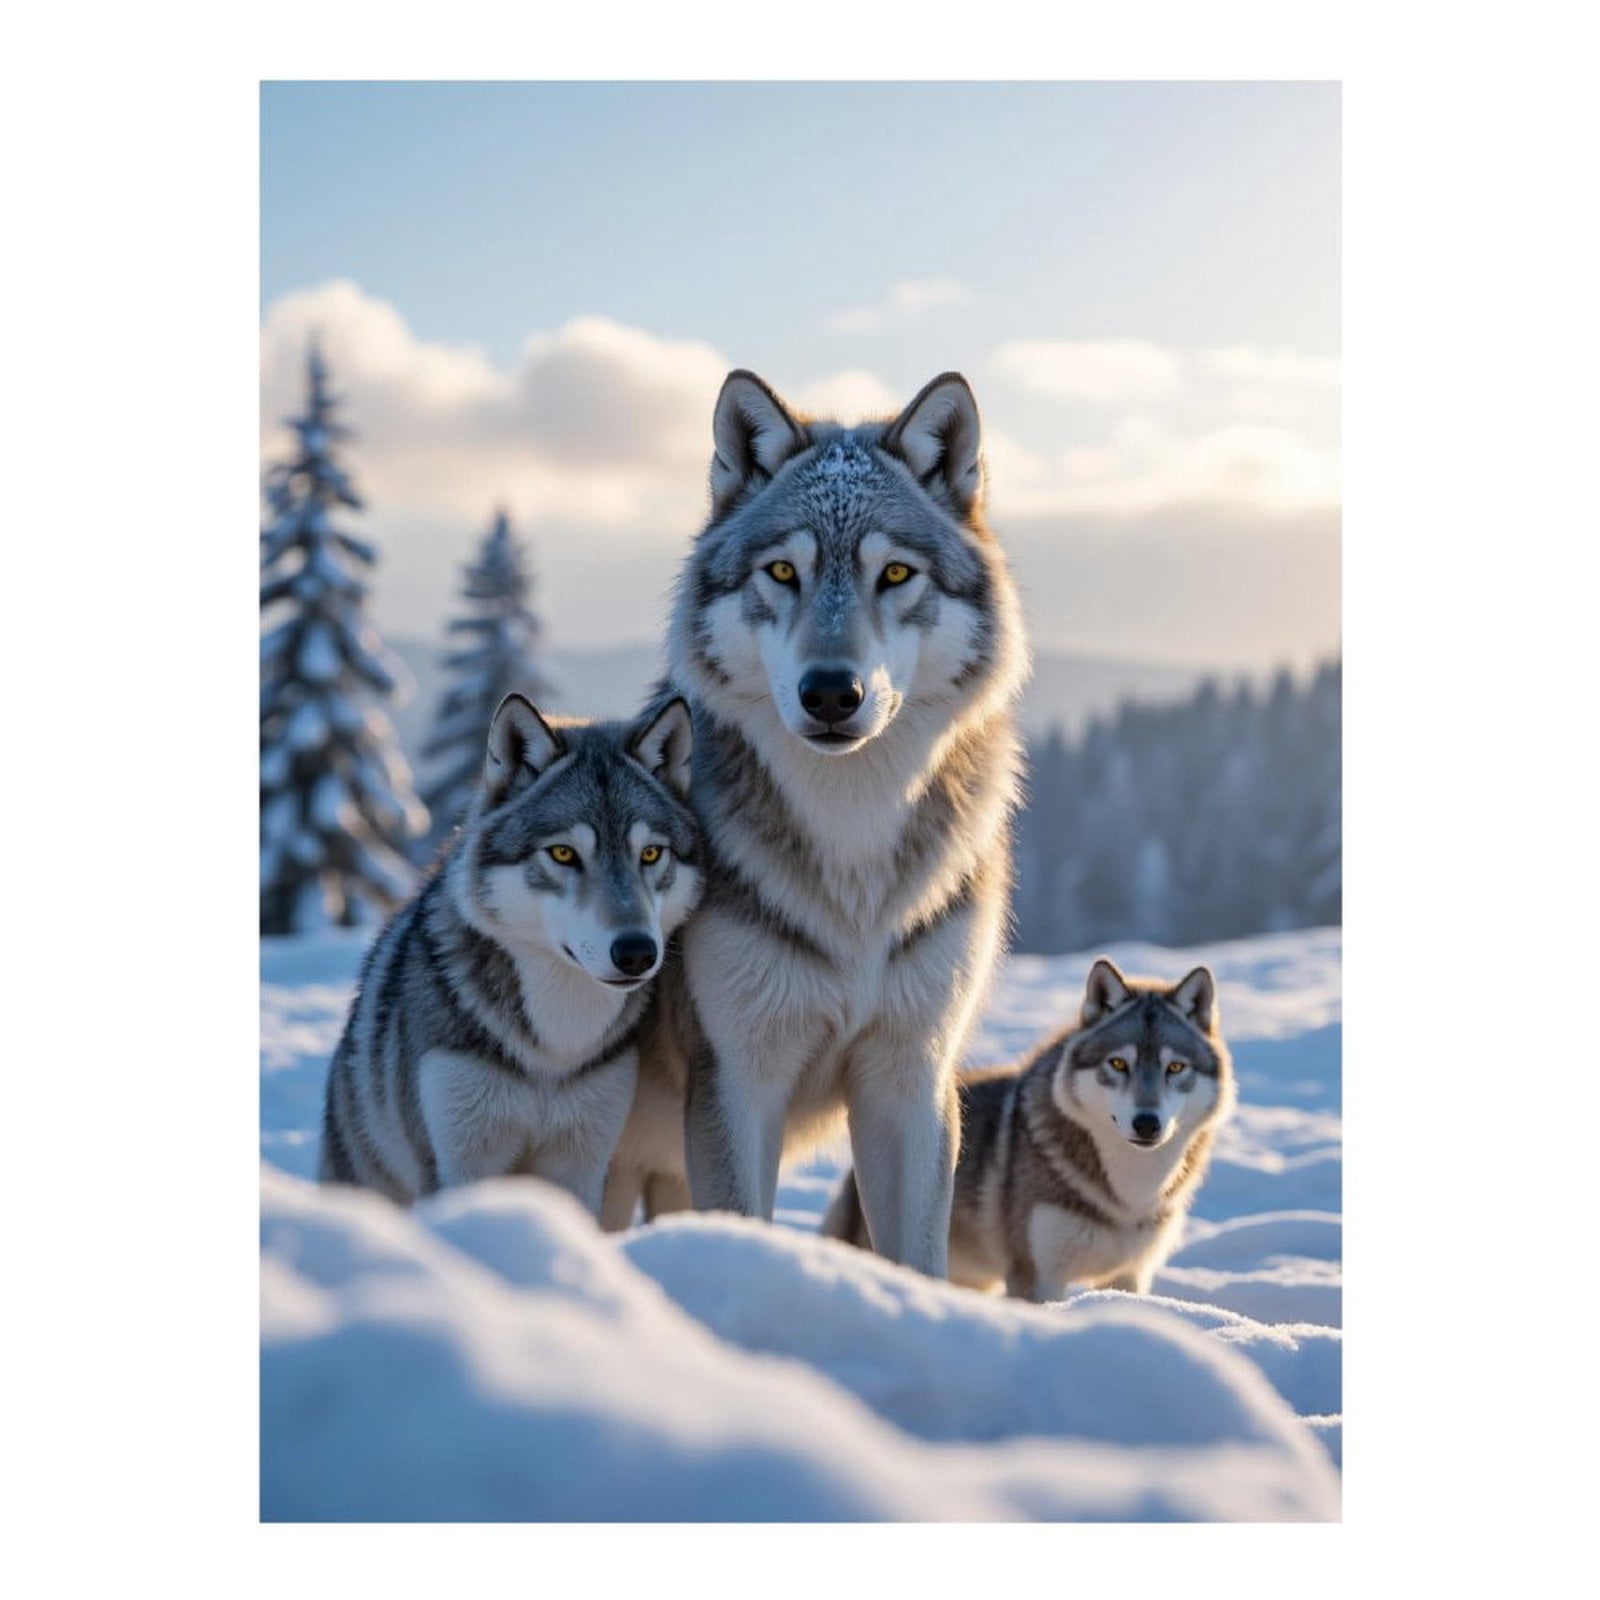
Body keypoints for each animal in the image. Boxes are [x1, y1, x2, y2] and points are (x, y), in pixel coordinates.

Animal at [318, 693, 702, 1215]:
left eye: (649, 854)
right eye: (563, 854)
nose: (637, 952)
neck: (555, 1047)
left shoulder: (581, 1164)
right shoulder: (459, 1163)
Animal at [617, 370, 1027, 1271]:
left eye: (896, 573)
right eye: (782, 570)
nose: (832, 693)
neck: (853, 833)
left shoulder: (910, 1080)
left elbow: (918, 1258)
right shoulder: (738, 1082)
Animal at [822, 959, 1235, 1300]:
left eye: (1175, 1068)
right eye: (1118, 1063)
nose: (1147, 1123)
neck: (1129, 1194)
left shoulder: (1129, 1275)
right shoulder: (1036, 1277)